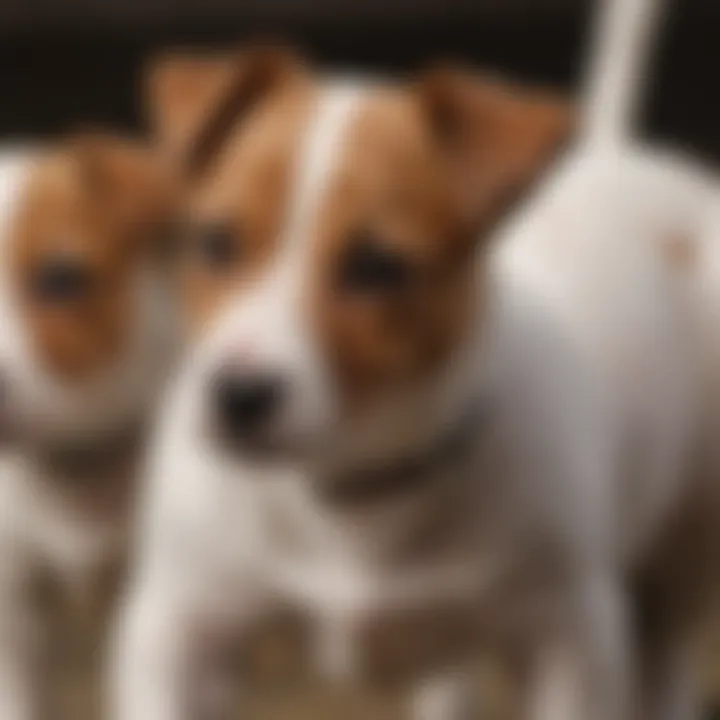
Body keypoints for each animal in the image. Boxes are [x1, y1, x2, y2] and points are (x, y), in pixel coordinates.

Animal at [109, 1, 720, 720]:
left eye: (378, 266)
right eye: (215, 240)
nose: (238, 396)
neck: (351, 493)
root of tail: (618, 154)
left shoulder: (571, 640)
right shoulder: (178, 626)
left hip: (687, 544)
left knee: (669, 650)